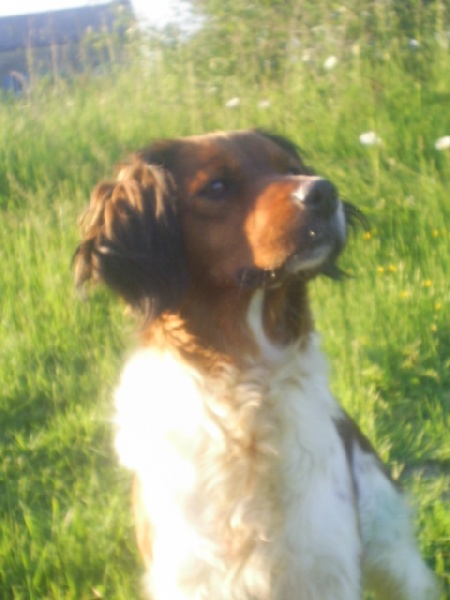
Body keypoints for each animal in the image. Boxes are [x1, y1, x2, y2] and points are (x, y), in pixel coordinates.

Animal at [74, 130, 438, 600]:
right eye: (216, 187)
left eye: (291, 168)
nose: (324, 192)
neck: (249, 382)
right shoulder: (189, 575)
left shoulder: (326, 568)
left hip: (391, 549)